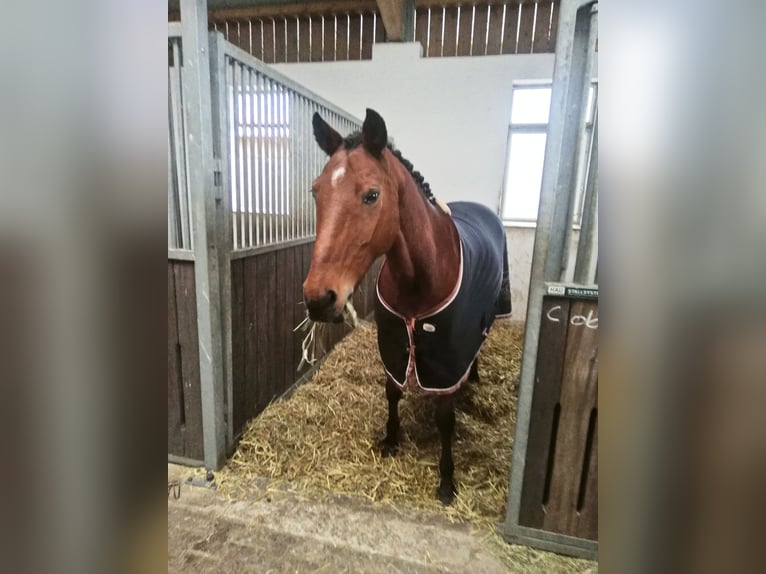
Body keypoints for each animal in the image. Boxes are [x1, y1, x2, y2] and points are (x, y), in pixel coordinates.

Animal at [303, 108, 512, 504]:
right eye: (315, 191)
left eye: (372, 195)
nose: (319, 299)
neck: (420, 277)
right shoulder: (393, 342)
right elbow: (392, 392)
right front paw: (390, 440)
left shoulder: (446, 359)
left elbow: (445, 420)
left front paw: (446, 482)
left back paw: (473, 381)